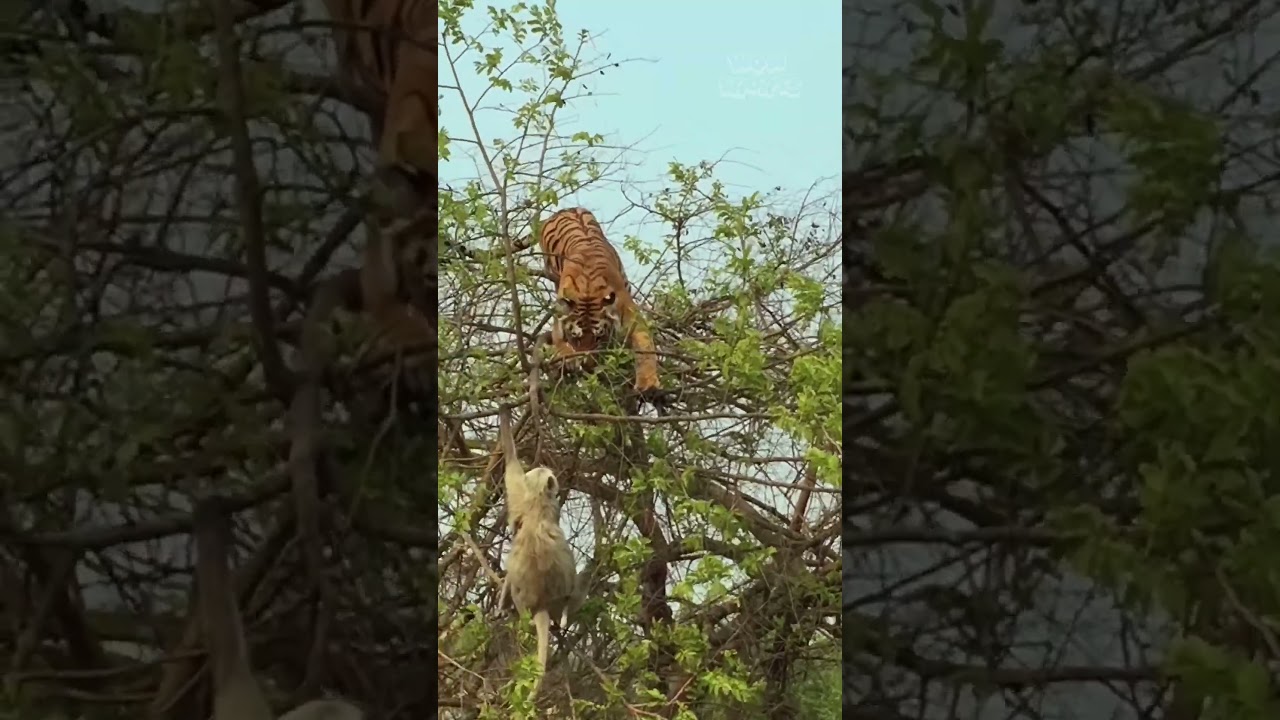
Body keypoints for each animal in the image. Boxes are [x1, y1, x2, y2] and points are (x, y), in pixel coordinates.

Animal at [537, 207, 663, 403]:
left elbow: (644, 345)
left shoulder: (629, 313)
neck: (588, 292)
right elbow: (558, 339)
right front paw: (567, 356)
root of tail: (566, 209)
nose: (588, 365)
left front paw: (648, 383)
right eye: (576, 339)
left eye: (598, 338)